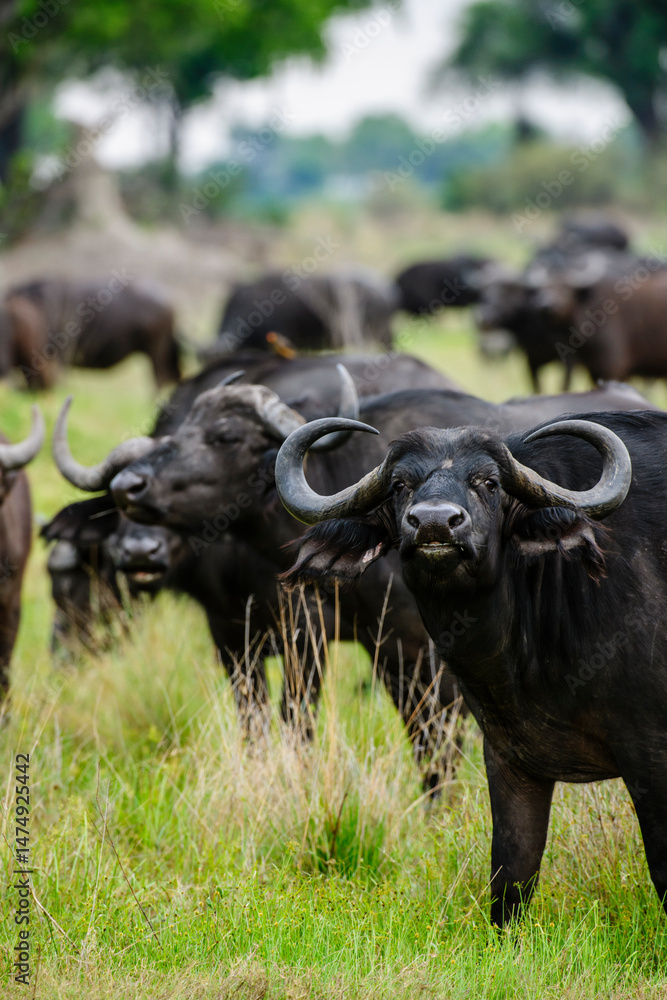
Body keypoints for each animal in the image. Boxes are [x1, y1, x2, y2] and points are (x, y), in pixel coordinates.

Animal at [275, 408, 667, 924]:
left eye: (489, 482)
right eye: (400, 484)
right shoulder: (507, 757)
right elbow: (511, 873)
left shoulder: (651, 758)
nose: (434, 524)